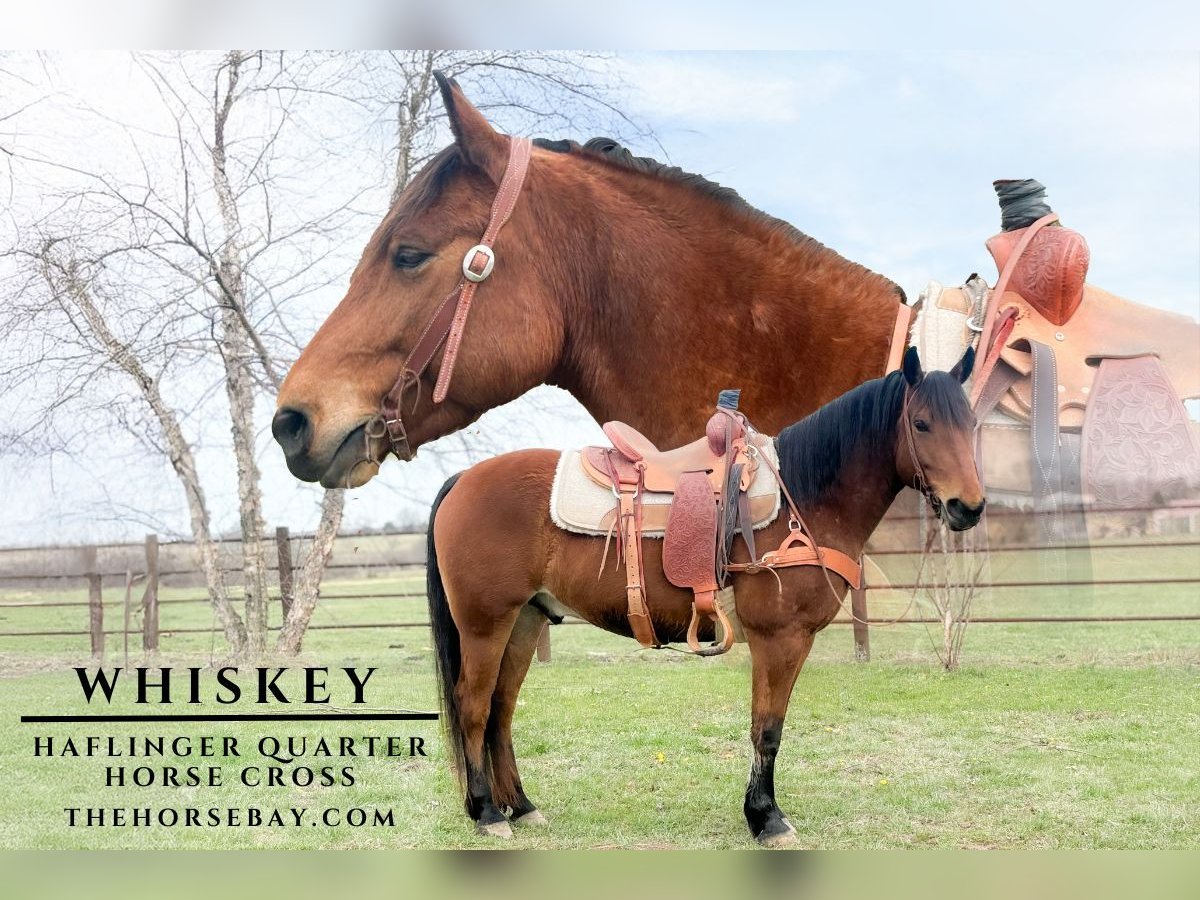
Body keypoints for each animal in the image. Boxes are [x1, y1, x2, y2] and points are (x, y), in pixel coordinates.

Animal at [425, 346, 983, 846]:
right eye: (922, 424)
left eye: (971, 422)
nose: (969, 507)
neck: (804, 500)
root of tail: (462, 480)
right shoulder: (779, 638)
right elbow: (767, 728)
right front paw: (766, 818)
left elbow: (767, 725)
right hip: (485, 623)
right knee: (474, 706)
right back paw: (486, 812)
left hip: (525, 620)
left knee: (501, 709)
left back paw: (520, 807)